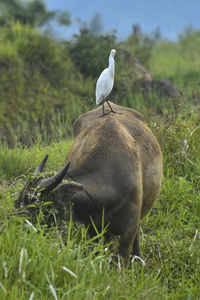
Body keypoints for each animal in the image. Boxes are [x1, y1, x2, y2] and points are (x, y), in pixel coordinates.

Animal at [16, 102, 162, 268]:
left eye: (33, 202)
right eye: (18, 199)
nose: (16, 226)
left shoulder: (129, 229)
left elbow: (122, 260)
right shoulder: (93, 228)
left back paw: (139, 259)